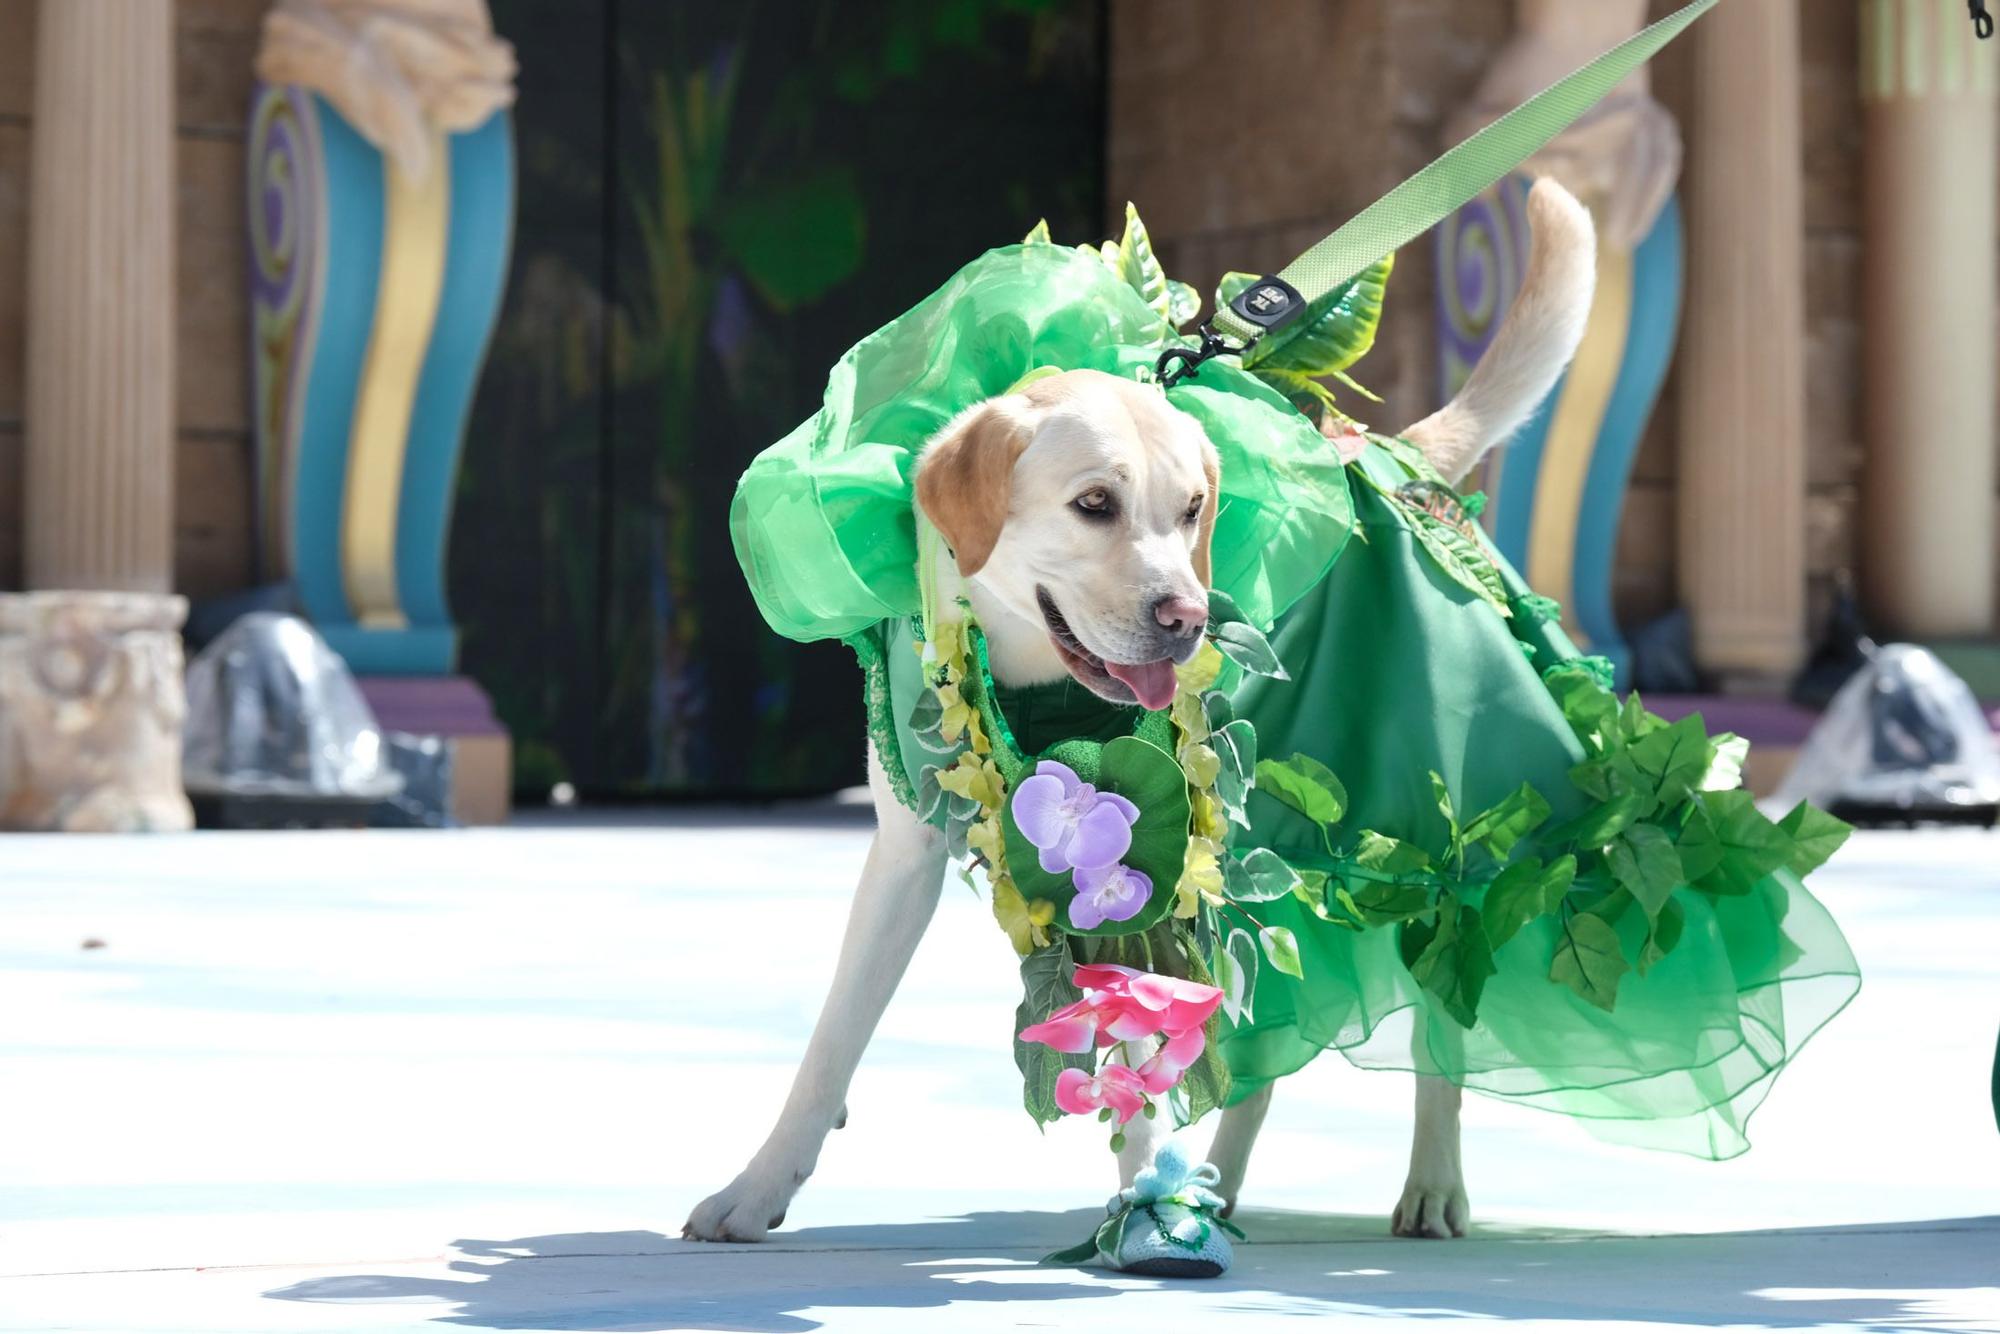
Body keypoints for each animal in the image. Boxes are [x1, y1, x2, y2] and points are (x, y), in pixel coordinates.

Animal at [688, 175, 1592, 1240]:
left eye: (1195, 508)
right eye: (1094, 504)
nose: (1188, 618)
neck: (1032, 678)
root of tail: (1382, 458)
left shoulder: (1154, 842)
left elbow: (1145, 1039)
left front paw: (1145, 1199)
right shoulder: (907, 852)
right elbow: (833, 1039)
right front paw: (757, 1188)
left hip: (1420, 825)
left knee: (1442, 989)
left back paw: (1430, 1181)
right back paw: (1218, 1180)